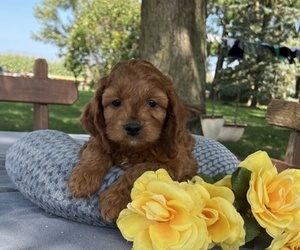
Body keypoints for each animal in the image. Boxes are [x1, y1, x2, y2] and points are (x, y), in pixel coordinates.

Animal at [69, 59, 198, 222]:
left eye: (152, 103)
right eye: (116, 102)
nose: (132, 128)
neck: (132, 148)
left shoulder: (180, 164)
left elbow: (140, 169)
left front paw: (113, 199)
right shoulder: (96, 139)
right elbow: (97, 148)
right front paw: (83, 179)